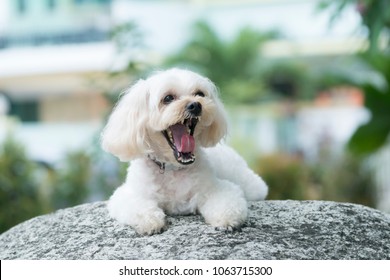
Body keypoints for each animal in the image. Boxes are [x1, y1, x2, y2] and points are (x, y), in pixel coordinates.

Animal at [101, 68, 268, 234]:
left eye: (200, 94)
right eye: (168, 98)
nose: (195, 105)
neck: (173, 168)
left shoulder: (216, 188)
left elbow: (226, 201)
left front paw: (227, 220)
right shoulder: (130, 194)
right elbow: (138, 206)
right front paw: (150, 221)